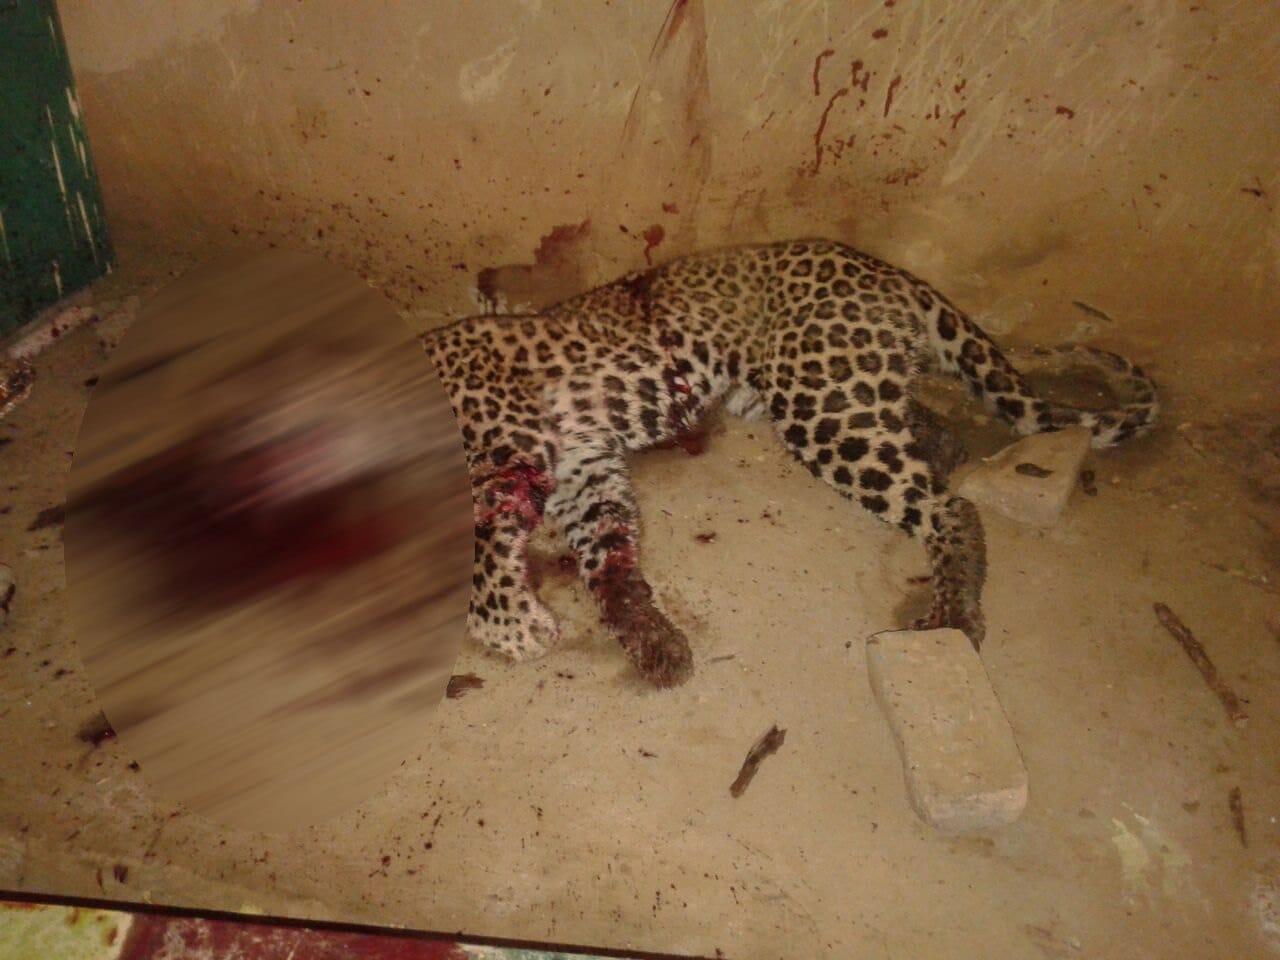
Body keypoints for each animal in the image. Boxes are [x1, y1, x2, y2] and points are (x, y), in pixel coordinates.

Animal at [424, 237, 1159, 689]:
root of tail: (885, 271)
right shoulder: (584, 467)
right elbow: (609, 557)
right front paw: (655, 640)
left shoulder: (509, 445)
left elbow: (482, 558)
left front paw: (511, 627)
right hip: (783, 390)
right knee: (928, 422)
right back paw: (944, 450)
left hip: (820, 402)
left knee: (949, 507)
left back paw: (955, 610)